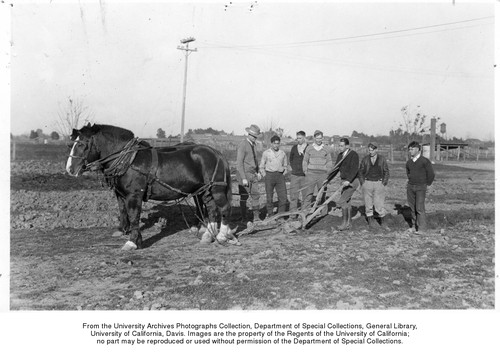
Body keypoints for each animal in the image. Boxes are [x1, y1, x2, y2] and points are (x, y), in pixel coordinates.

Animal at [65, 124, 237, 252]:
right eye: (72, 144)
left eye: (82, 144)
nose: (69, 169)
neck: (128, 160)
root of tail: (217, 152)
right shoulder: (122, 194)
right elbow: (123, 211)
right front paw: (130, 235)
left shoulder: (134, 195)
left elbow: (133, 215)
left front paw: (132, 242)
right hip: (205, 190)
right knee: (212, 209)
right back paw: (208, 235)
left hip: (216, 189)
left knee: (224, 209)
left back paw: (221, 236)